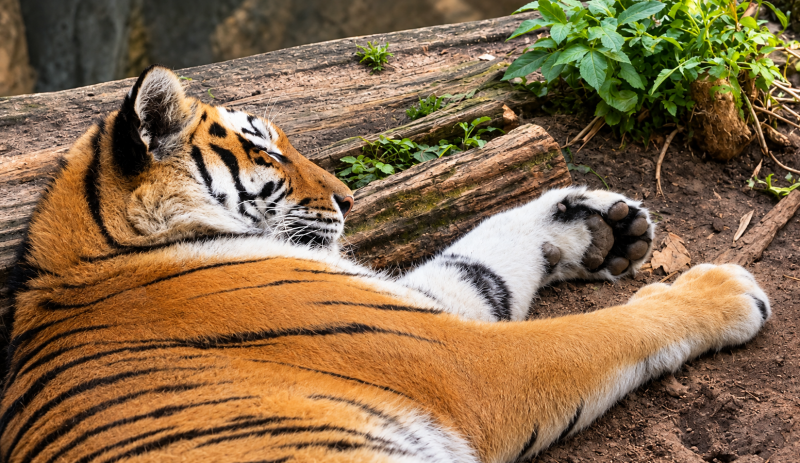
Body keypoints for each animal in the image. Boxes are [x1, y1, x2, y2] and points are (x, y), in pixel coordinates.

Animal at [1, 65, 771, 463]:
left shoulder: (412, 311)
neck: (98, 256)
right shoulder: (459, 364)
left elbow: (478, 258)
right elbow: (602, 333)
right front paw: (723, 291)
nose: (350, 198)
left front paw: (596, 225)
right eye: (267, 150)